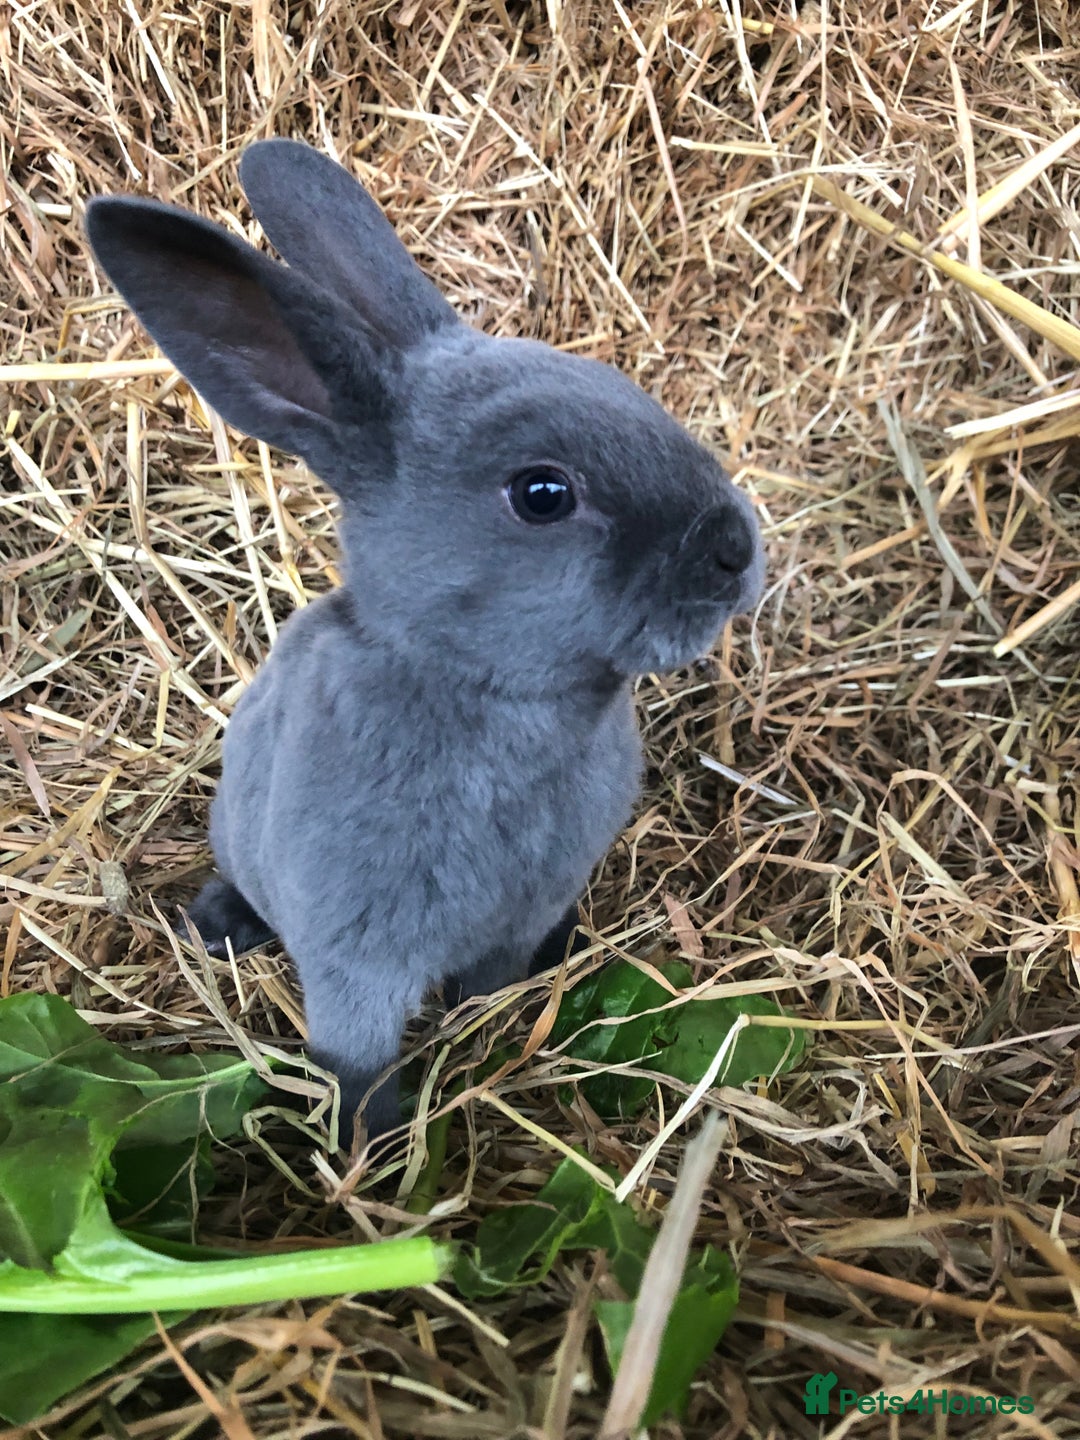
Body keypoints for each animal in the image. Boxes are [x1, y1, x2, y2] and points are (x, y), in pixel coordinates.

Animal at [85, 139, 765, 1140]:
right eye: (542, 495)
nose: (733, 548)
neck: (489, 696)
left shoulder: (515, 920)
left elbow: (487, 987)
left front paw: (485, 1031)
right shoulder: (355, 962)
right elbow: (356, 1060)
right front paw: (370, 1141)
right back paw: (217, 926)